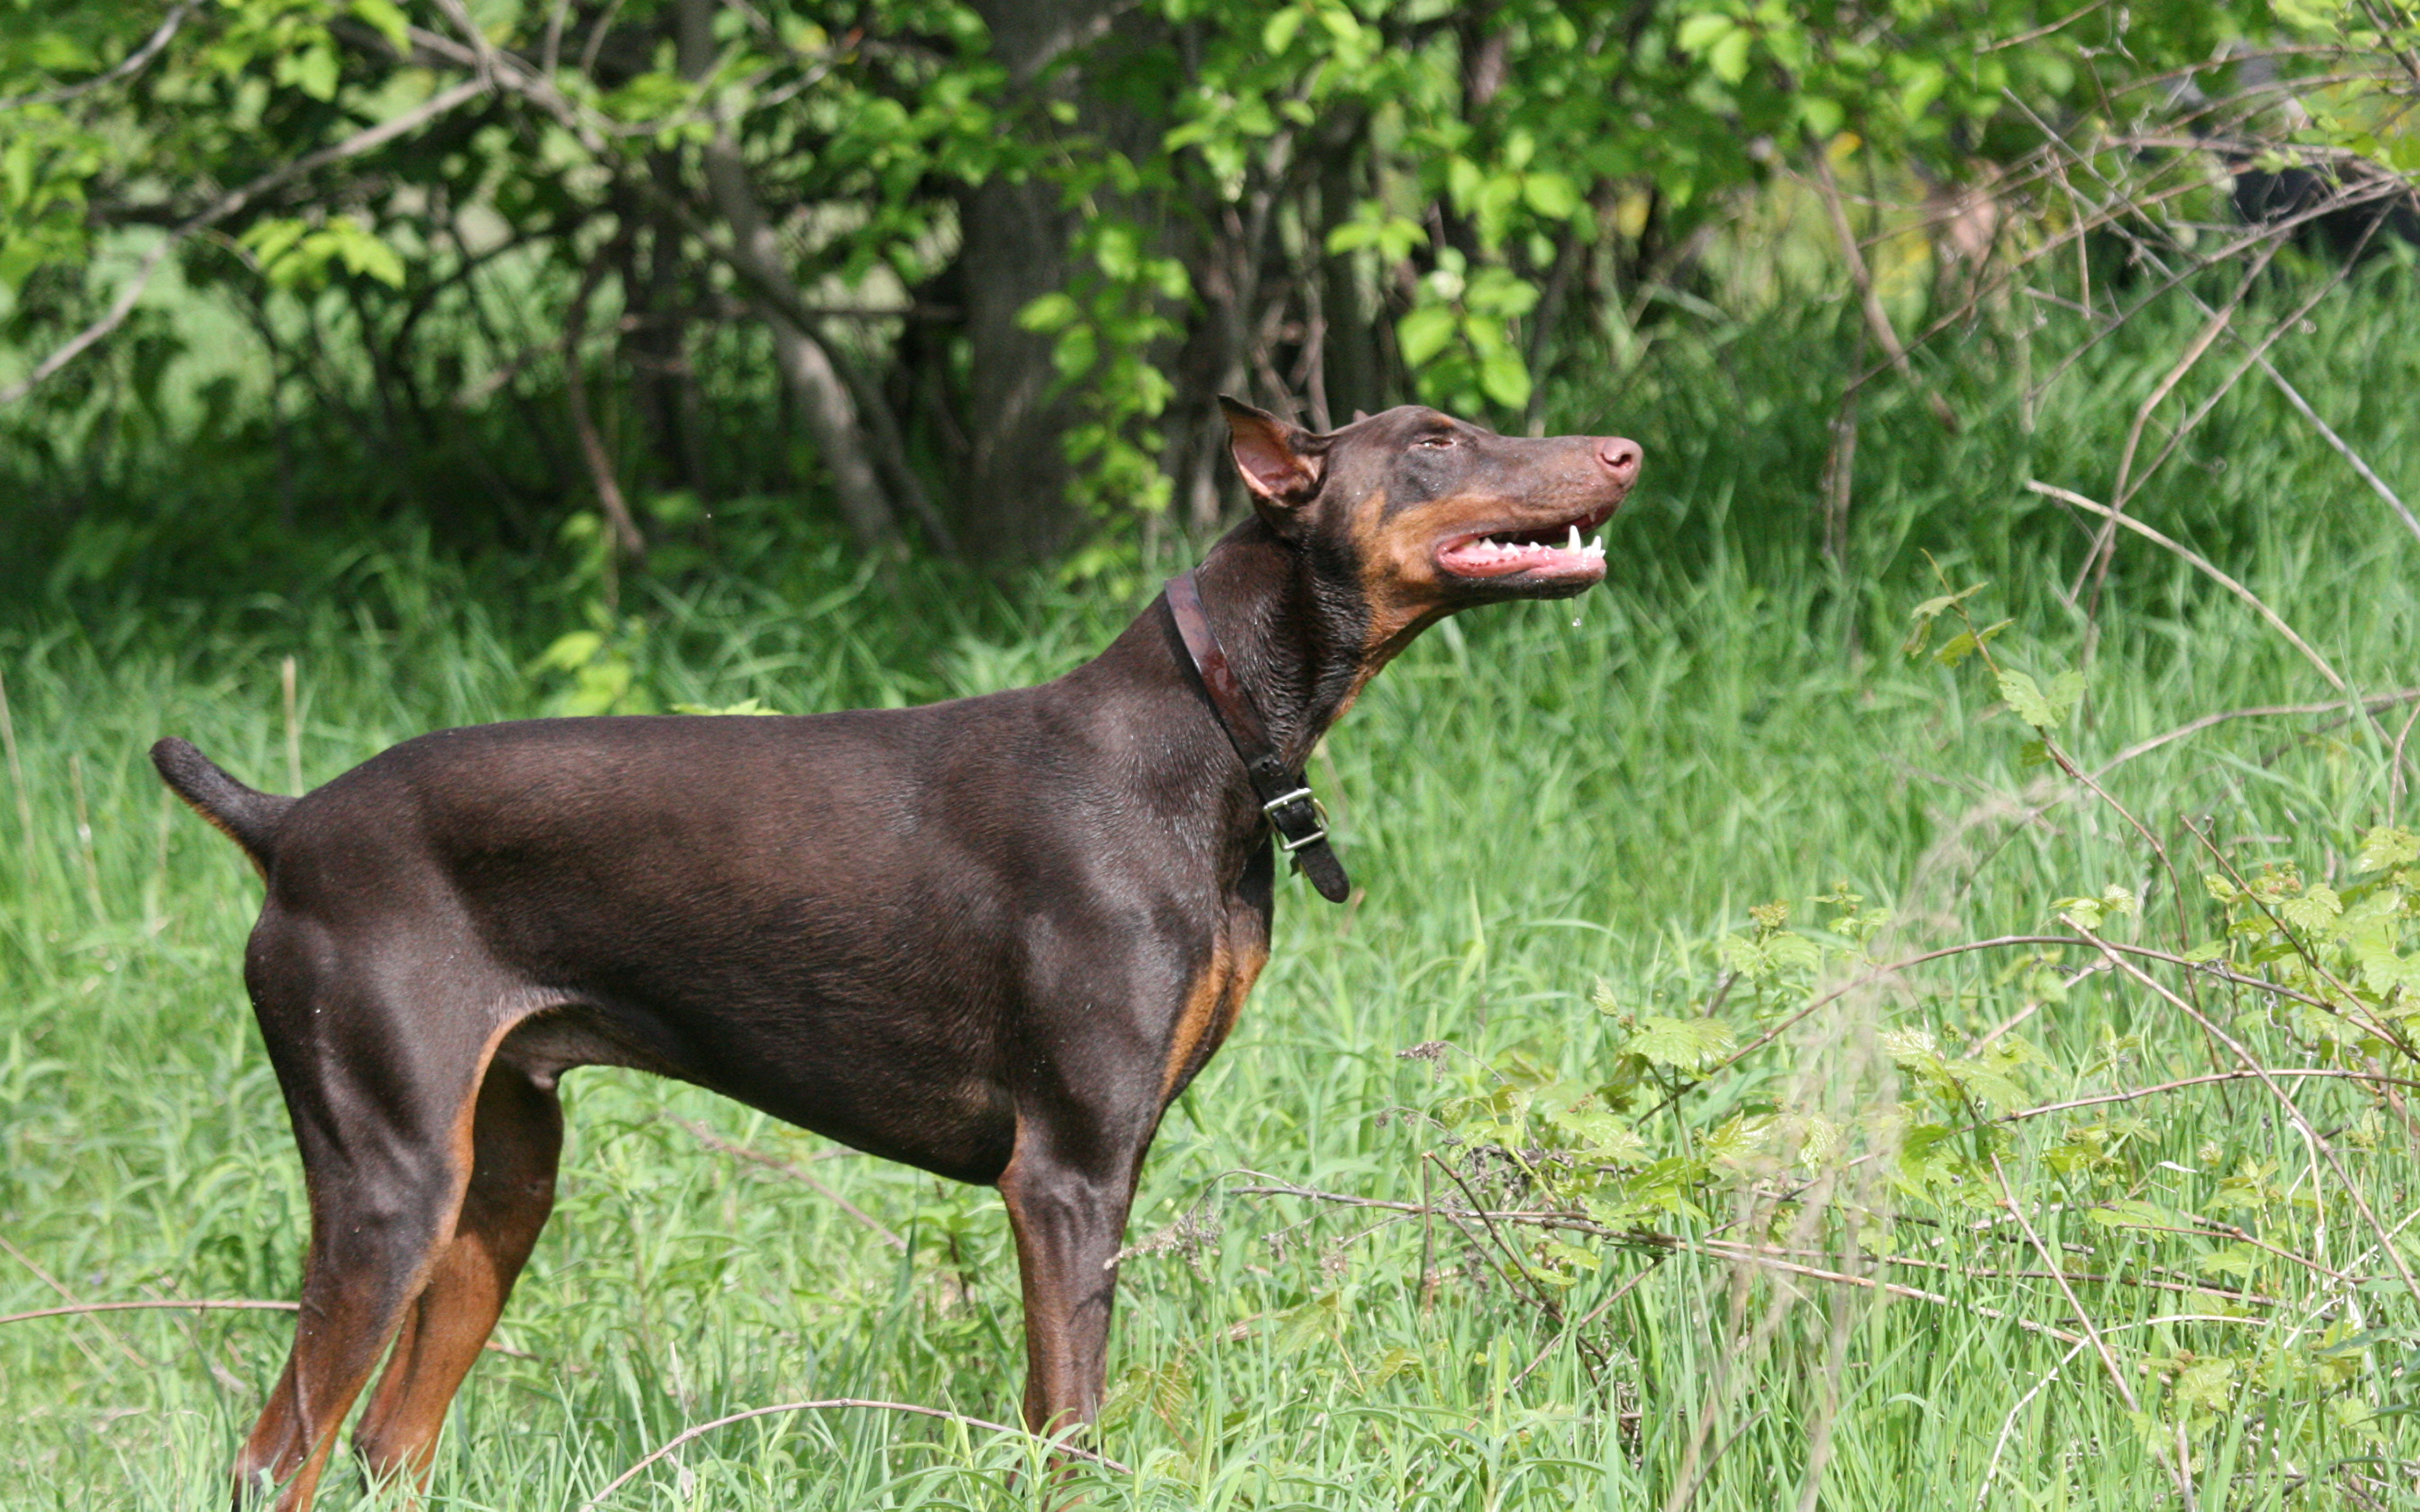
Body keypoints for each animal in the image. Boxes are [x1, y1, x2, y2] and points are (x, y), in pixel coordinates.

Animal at [146, 394, 1626, 1499]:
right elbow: (1068, 1425)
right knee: (278, 1455)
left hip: (498, 1183)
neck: (1208, 733)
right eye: (1436, 441)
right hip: (387, 1179)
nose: (1622, 453)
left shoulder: (1104, 1164)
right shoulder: (1066, 1174)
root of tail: (289, 824)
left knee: (390, 1442)